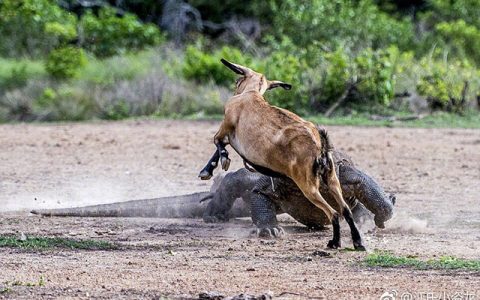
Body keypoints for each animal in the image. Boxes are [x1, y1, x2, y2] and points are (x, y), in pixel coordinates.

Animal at [198, 59, 364, 251]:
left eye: (237, 81)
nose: (235, 89)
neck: (252, 94)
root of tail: (319, 145)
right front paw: (210, 169)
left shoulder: (225, 128)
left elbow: (217, 144)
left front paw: (213, 166)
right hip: (332, 180)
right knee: (346, 210)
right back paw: (358, 242)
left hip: (308, 186)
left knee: (334, 213)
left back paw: (335, 242)